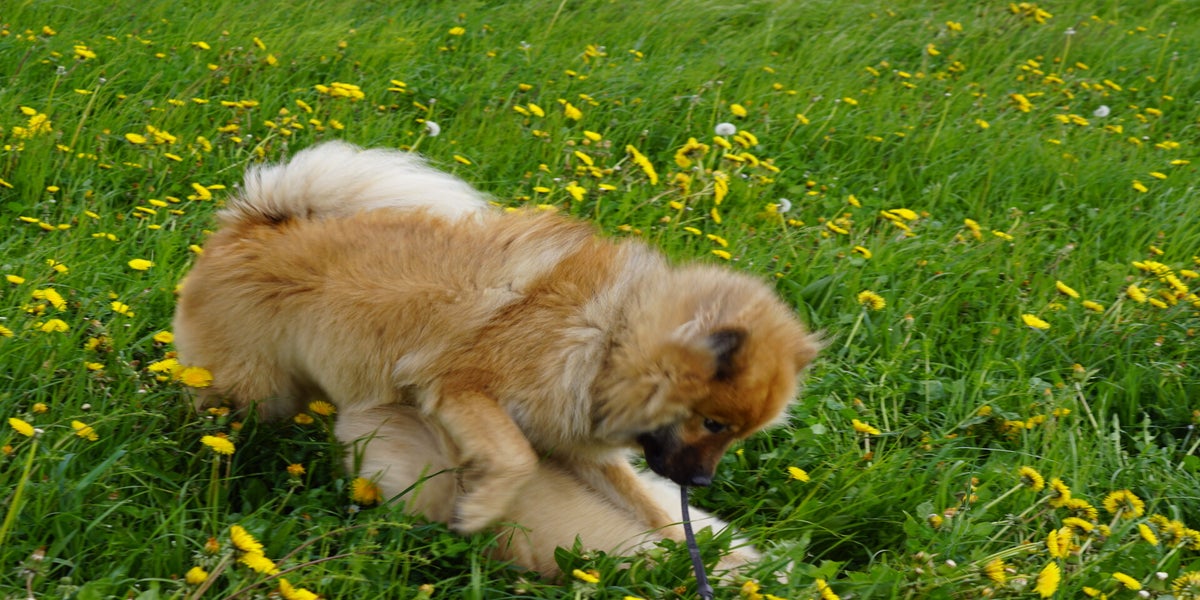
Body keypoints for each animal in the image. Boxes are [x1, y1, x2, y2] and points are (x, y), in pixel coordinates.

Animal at [173, 141, 818, 572]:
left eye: (733, 433)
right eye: (713, 423)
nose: (704, 482)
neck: (606, 338)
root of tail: (255, 220)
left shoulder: (575, 442)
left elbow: (643, 503)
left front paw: (701, 554)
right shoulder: (462, 389)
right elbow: (517, 460)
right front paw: (481, 510)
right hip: (253, 390)